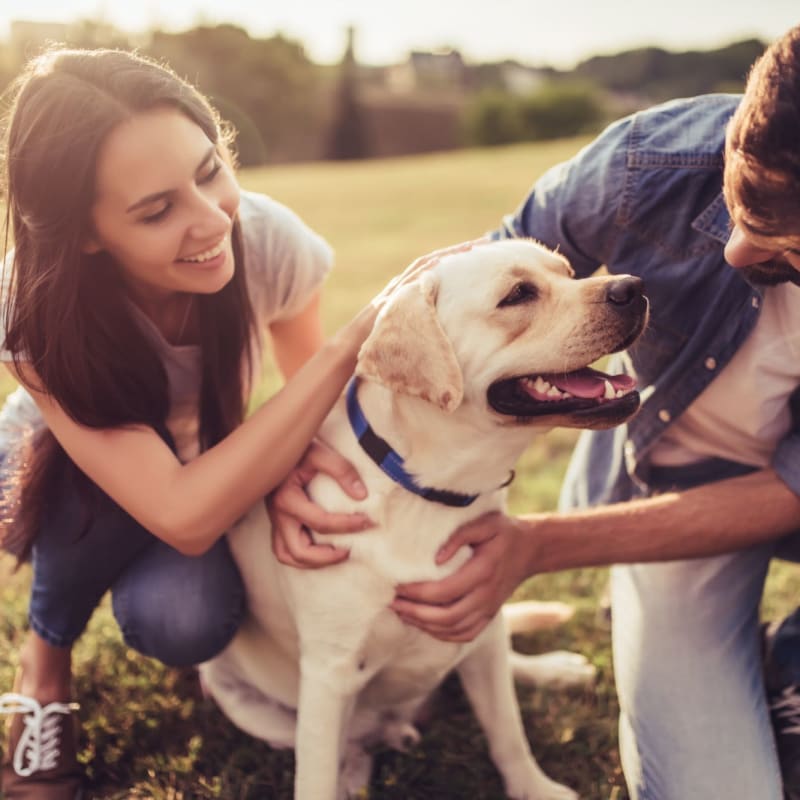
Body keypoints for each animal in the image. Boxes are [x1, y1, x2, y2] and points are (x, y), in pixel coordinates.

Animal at [200, 241, 648, 800]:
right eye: (518, 294)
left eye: (568, 272)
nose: (634, 286)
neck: (430, 493)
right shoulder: (329, 671)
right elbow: (316, 775)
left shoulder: (478, 610)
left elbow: (508, 731)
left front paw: (534, 787)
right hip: (240, 696)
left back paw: (553, 669)